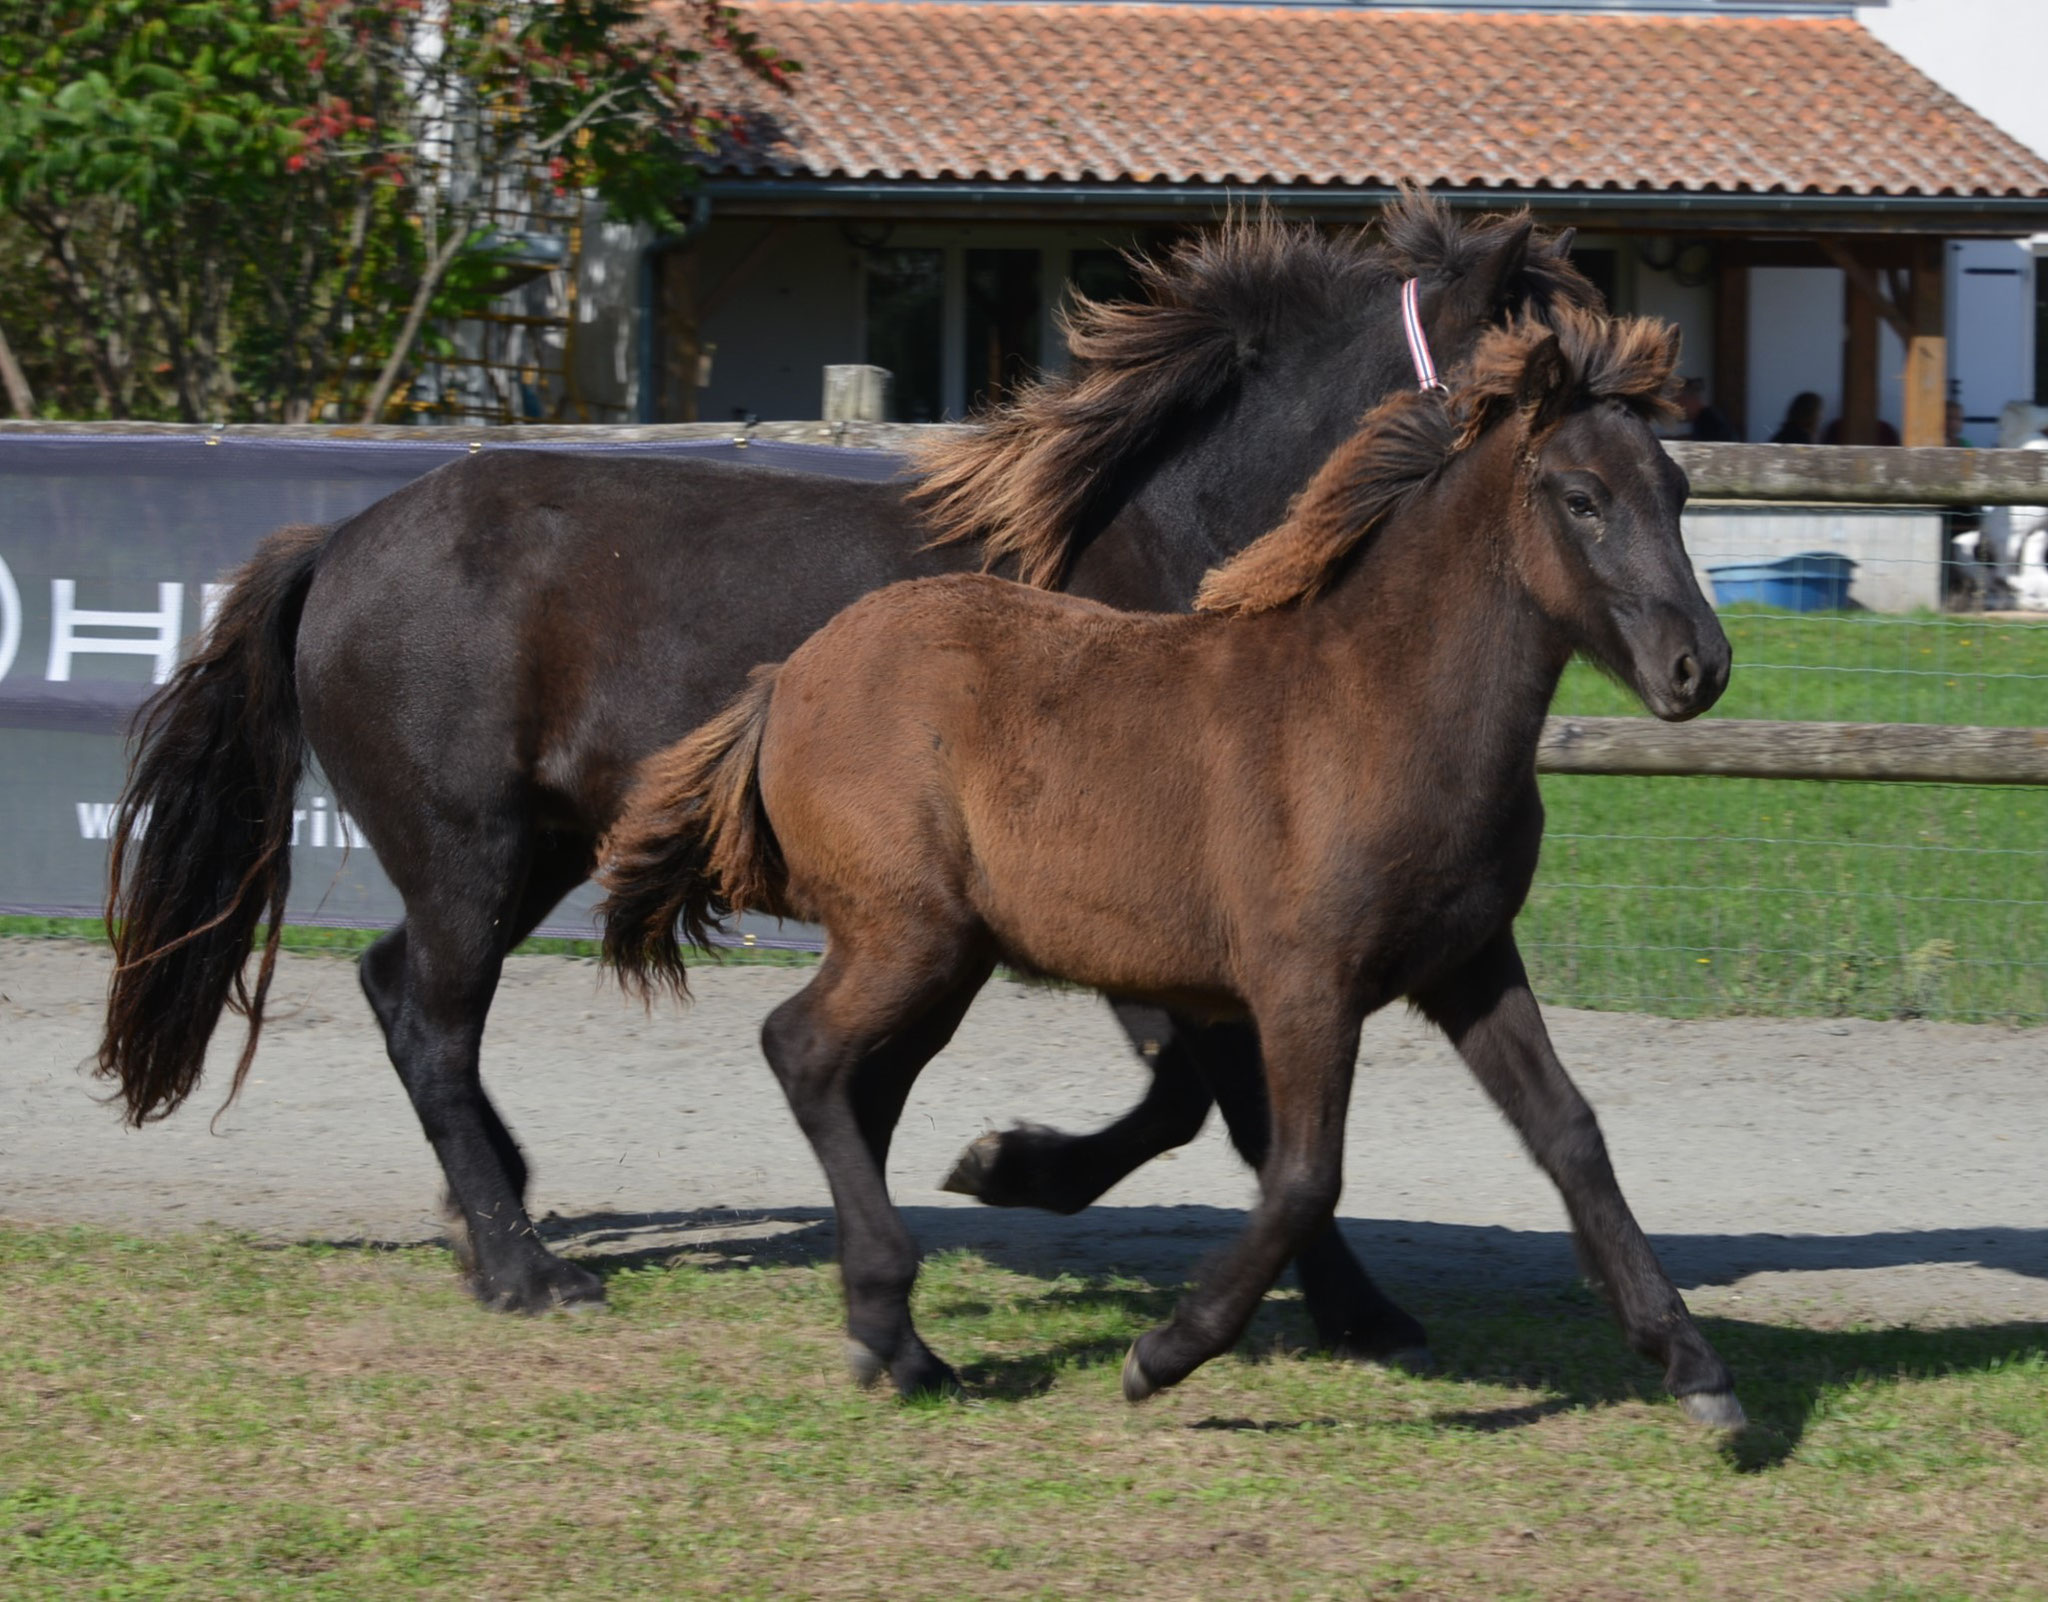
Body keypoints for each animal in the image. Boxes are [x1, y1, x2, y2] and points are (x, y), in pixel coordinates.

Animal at [99, 194, 1597, 1360]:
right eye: (1538, 376)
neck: (1177, 559)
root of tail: (341, 541)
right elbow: (1219, 1103)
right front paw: (1013, 1172)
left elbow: (1220, 1106)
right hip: (469, 851)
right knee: (430, 1020)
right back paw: (525, 1267)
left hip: (532, 850)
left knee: (393, 990)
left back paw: (493, 1217)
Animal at [598, 311, 1744, 1434]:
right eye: (1581, 498)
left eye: (1679, 491)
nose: (1699, 667)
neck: (1379, 708)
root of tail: (787, 677)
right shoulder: (1302, 986)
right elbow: (1300, 1173)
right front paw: (1164, 1355)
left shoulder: (1467, 965)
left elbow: (1569, 1134)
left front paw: (1697, 1372)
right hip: (905, 936)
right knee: (799, 1049)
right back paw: (897, 1320)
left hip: (947, 959)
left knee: (857, 1087)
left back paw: (899, 1329)